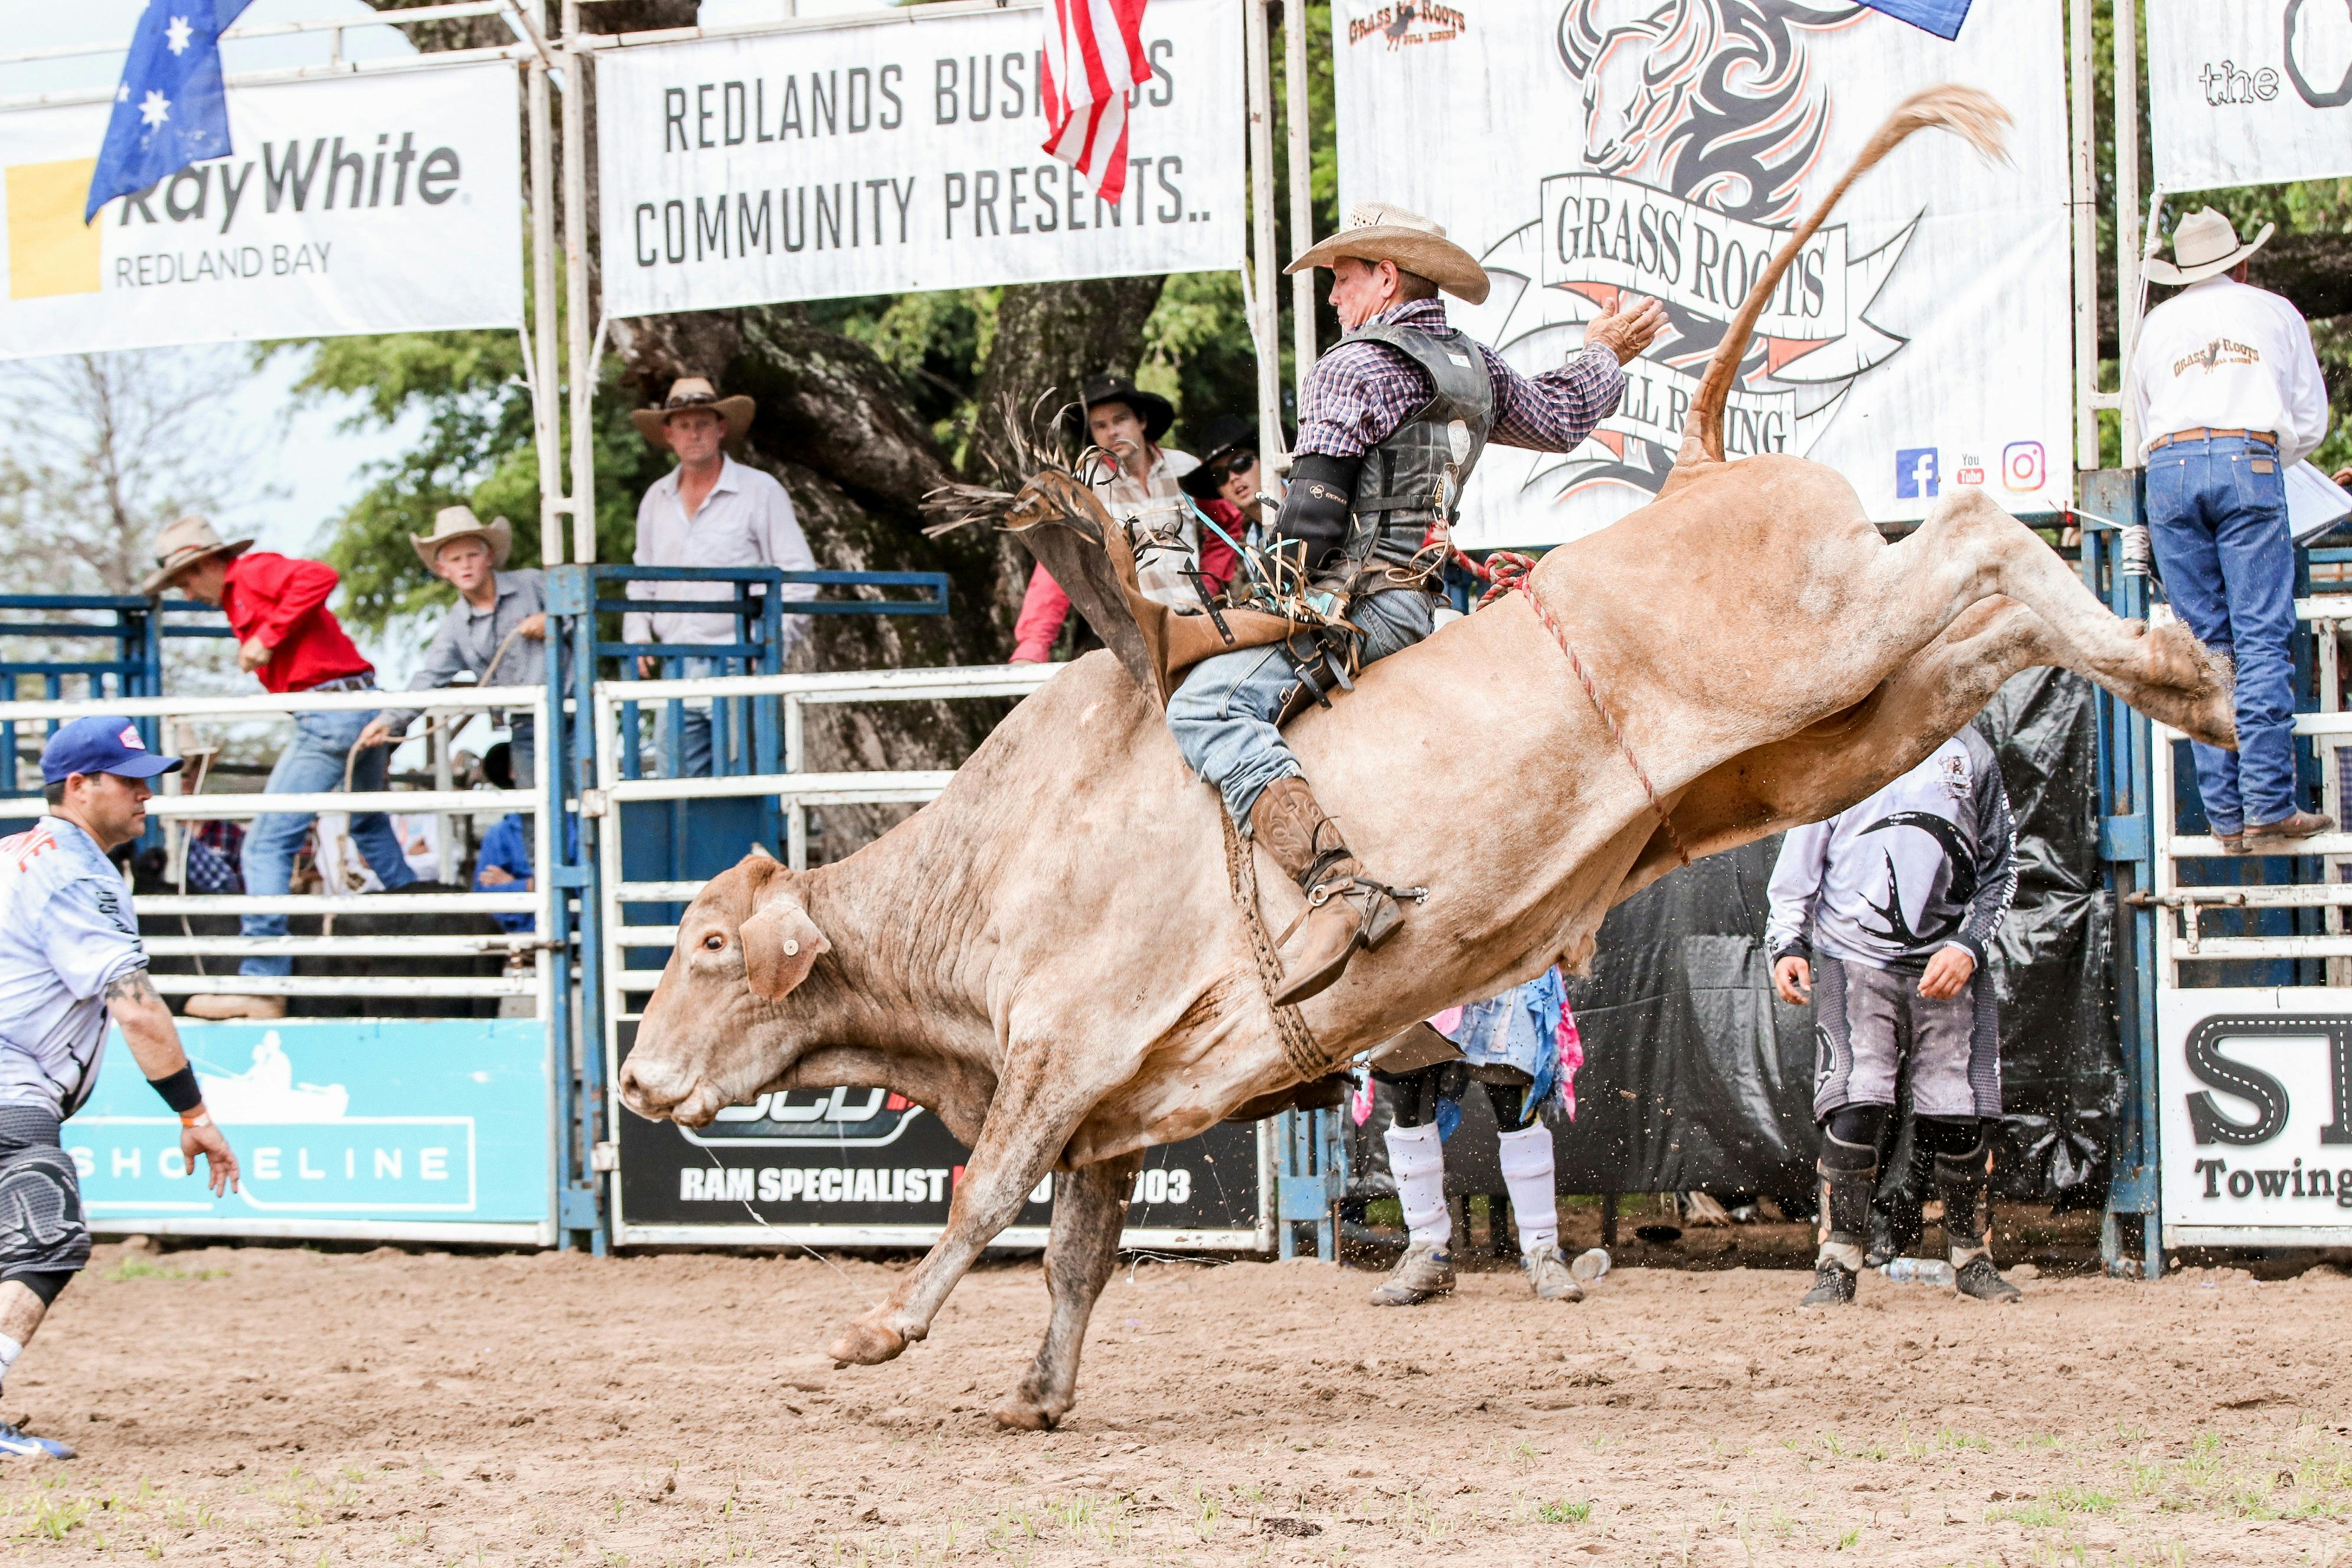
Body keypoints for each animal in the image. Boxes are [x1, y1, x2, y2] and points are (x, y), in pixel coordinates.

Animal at [616, 88, 2232, 1430]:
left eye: (706, 945)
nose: (631, 1083)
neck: (997, 858)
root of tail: (1709, 460)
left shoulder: (1060, 1049)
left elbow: (980, 1196)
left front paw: (872, 1333)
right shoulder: (1114, 1110)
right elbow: (1077, 1253)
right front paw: (1036, 1392)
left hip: (1822, 649)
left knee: (1975, 527)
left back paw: (2191, 673)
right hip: (1833, 732)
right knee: (1989, 618)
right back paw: (2182, 675)